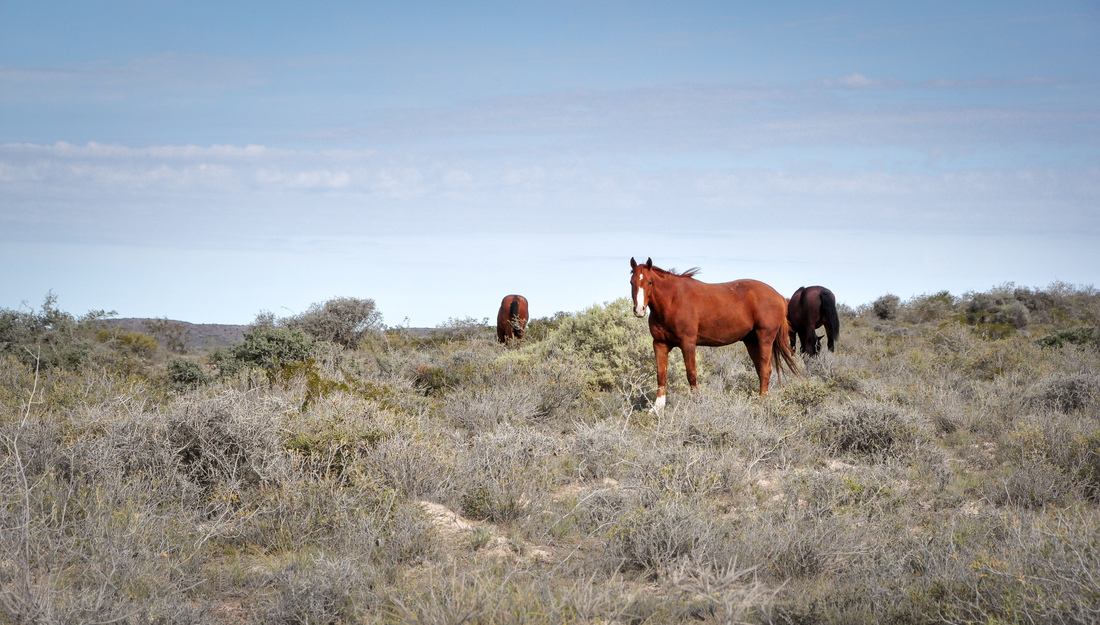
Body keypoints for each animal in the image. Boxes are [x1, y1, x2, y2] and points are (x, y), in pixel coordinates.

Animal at [629, 257, 797, 409]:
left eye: (650, 282)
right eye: (632, 282)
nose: (639, 310)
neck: (672, 301)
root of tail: (780, 297)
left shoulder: (688, 343)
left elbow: (691, 374)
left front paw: (696, 403)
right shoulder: (660, 344)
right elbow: (661, 374)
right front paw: (657, 408)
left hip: (765, 339)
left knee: (765, 369)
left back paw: (762, 402)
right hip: (751, 342)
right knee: (760, 369)